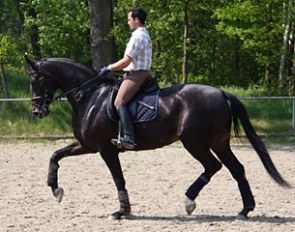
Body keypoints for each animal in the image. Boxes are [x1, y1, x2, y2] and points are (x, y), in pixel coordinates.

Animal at [24, 55, 290, 219]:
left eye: (34, 78)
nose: (37, 111)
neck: (89, 96)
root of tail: (221, 93)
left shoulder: (106, 149)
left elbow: (118, 178)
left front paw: (122, 212)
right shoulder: (87, 145)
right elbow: (55, 155)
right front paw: (55, 189)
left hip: (195, 142)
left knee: (213, 166)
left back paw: (189, 201)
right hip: (219, 142)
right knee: (237, 169)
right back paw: (245, 210)